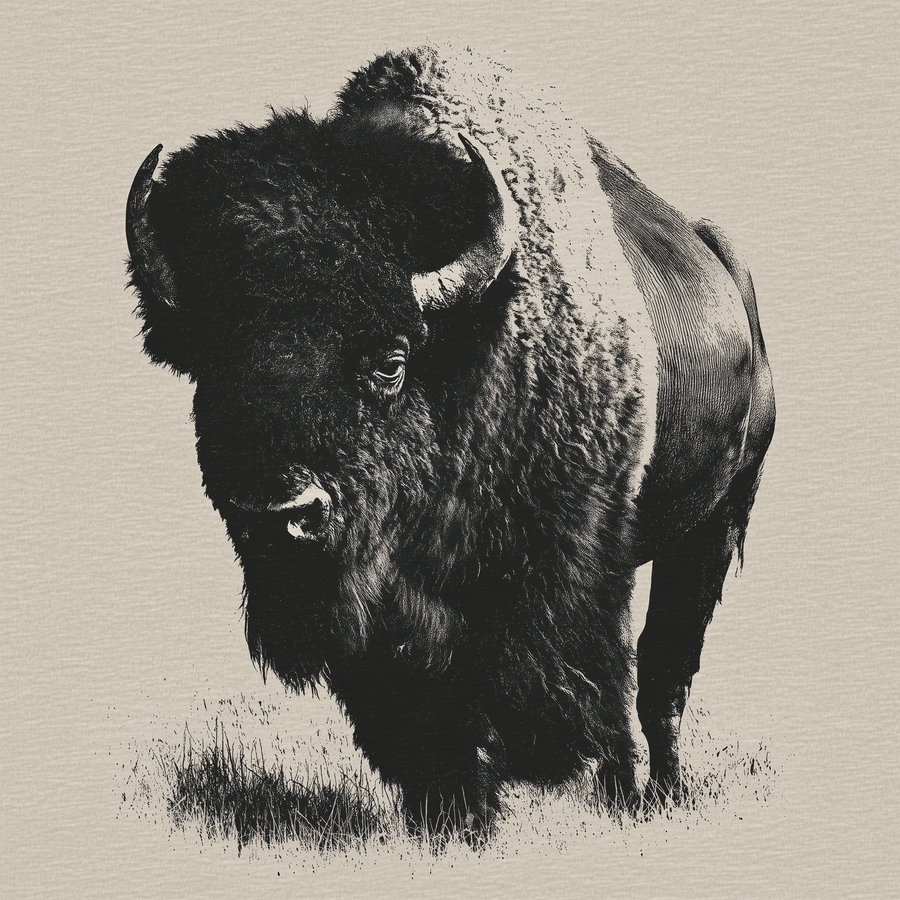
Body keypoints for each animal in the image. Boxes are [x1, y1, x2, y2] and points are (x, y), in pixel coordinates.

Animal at [125, 44, 775, 840]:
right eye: (211, 363)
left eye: (390, 360)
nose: (278, 513)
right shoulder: (383, 620)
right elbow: (422, 716)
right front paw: (453, 819)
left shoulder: (561, 576)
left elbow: (574, 687)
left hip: (713, 526)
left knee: (660, 671)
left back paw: (658, 794)